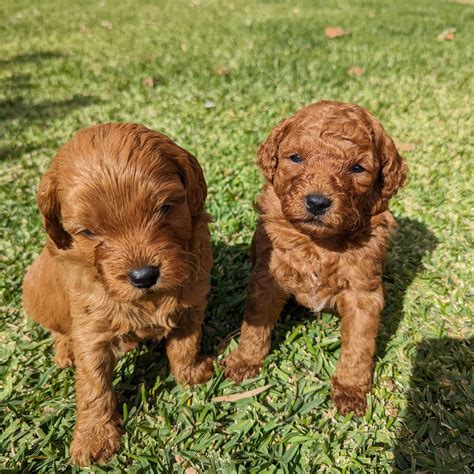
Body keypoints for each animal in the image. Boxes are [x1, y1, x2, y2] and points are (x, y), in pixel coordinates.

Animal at [24, 123, 213, 466]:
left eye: (165, 208)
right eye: (88, 232)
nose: (144, 276)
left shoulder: (192, 302)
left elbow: (185, 345)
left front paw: (190, 373)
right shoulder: (91, 331)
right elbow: (93, 386)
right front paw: (94, 437)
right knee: (58, 329)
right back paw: (65, 351)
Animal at [223, 101, 408, 414]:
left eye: (358, 168)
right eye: (296, 158)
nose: (317, 202)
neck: (319, 243)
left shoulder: (363, 293)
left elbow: (359, 343)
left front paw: (350, 389)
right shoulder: (268, 276)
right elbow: (255, 321)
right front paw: (244, 361)